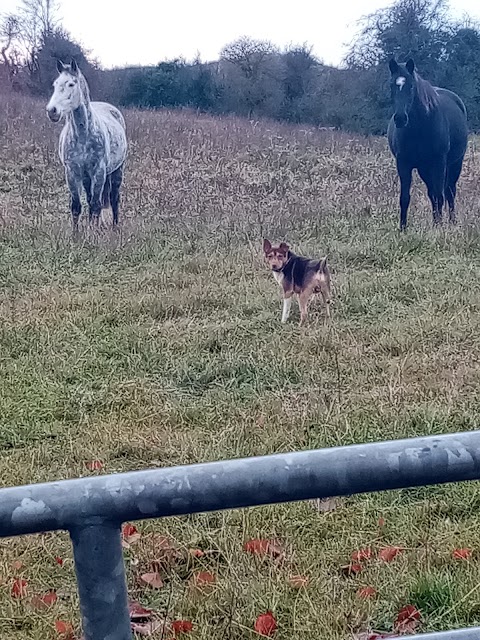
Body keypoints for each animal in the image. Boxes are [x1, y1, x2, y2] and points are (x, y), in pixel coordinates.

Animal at [46, 59, 127, 235]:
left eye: (71, 84)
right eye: (55, 84)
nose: (52, 111)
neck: (83, 135)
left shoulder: (99, 171)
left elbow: (96, 205)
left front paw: (93, 234)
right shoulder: (72, 172)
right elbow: (77, 206)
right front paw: (76, 235)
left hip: (117, 170)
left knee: (113, 198)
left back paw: (115, 226)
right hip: (86, 177)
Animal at [386, 58, 468, 230]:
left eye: (411, 86)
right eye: (391, 85)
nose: (400, 118)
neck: (419, 129)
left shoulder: (438, 162)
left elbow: (439, 195)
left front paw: (438, 227)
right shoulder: (403, 163)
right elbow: (405, 197)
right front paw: (402, 228)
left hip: (454, 163)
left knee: (449, 192)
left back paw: (451, 222)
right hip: (424, 169)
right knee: (433, 193)